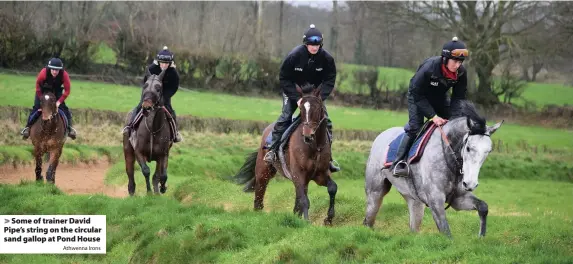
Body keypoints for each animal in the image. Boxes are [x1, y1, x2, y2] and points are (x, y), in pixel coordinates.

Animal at [122, 68, 172, 196]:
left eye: (158, 88)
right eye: (145, 86)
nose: (146, 107)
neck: (153, 129)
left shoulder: (163, 154)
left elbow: (163, 175)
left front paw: (162, 188)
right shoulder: (139, 152)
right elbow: (146, 170)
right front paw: (149, 192)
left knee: (157, 175)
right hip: (128, 151)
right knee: (130, 174)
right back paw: (132, 192)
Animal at [231, 83, 338, 224]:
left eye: (317, 107)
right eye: (301, 109)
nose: (308, 135)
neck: (315, 146)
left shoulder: (320, 174)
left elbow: (332, 188)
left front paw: (329, 219)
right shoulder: (298, 174)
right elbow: (305, 200)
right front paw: (306, 221)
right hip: (263, 170)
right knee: (260, 189)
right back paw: (258, 212)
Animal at [364, 100, 502, 237]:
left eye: (488, 151)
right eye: (468, 148)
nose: (470, 184)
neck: (449, 158)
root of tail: (381, 135)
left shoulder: (458, 198)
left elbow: (483, 207)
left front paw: (481, 237)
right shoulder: (435, 199)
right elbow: (446, 231)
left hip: (414, 200)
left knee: (414, 224)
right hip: (375, 191)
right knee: (369, 219)